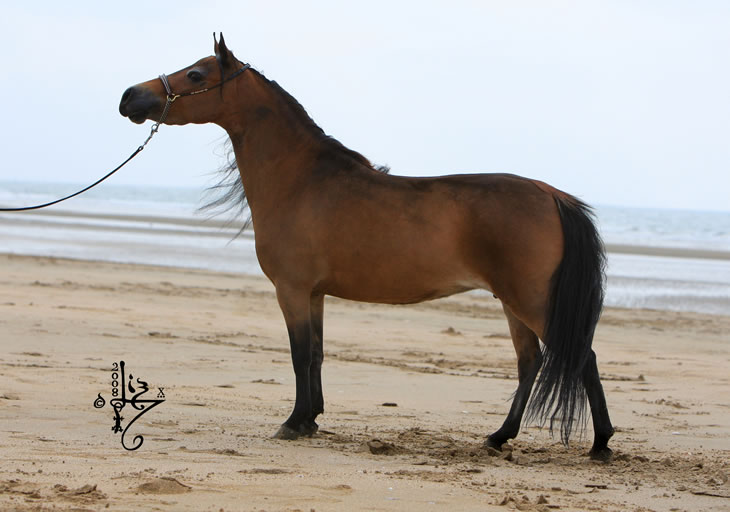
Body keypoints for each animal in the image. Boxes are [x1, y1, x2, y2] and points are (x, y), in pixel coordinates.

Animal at [121, 36, 616, 460]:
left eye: (196, 74)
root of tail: (552, 195)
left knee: (580, 356)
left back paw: (600, 444)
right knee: (529, 361)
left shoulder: (292, 290)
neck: (301, 180)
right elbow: (316, 355)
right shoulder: (314, 293)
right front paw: (311, 420)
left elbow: (299, 355)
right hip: (513, 302)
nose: (130, 97)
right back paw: (498, 436)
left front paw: (293, 423)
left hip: (531, 300)